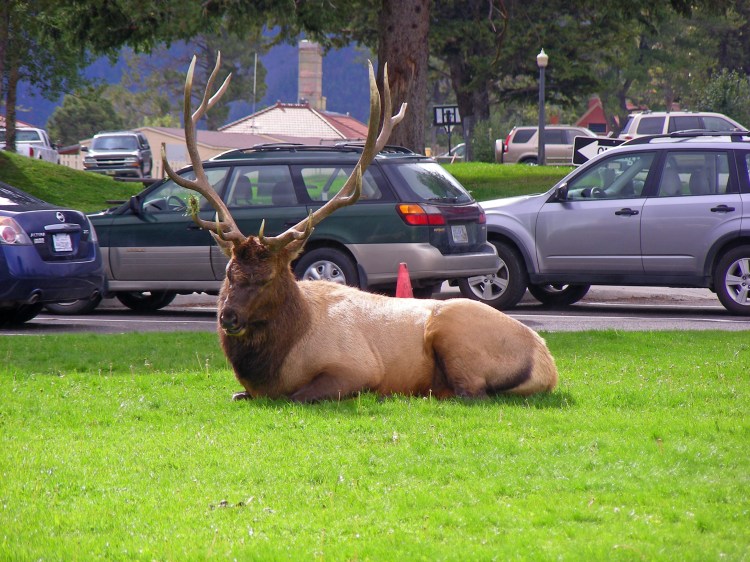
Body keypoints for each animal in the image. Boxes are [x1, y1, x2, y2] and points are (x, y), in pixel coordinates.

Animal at [163, 54, 558, 402]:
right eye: (229, 273)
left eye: (267, 278)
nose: (228, 316)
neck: (275, 368)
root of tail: (548, 363)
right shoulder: (247, 389)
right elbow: (237, 394)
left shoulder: (357, 367)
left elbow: (299, 396)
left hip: (453, 328)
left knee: (470, 392)